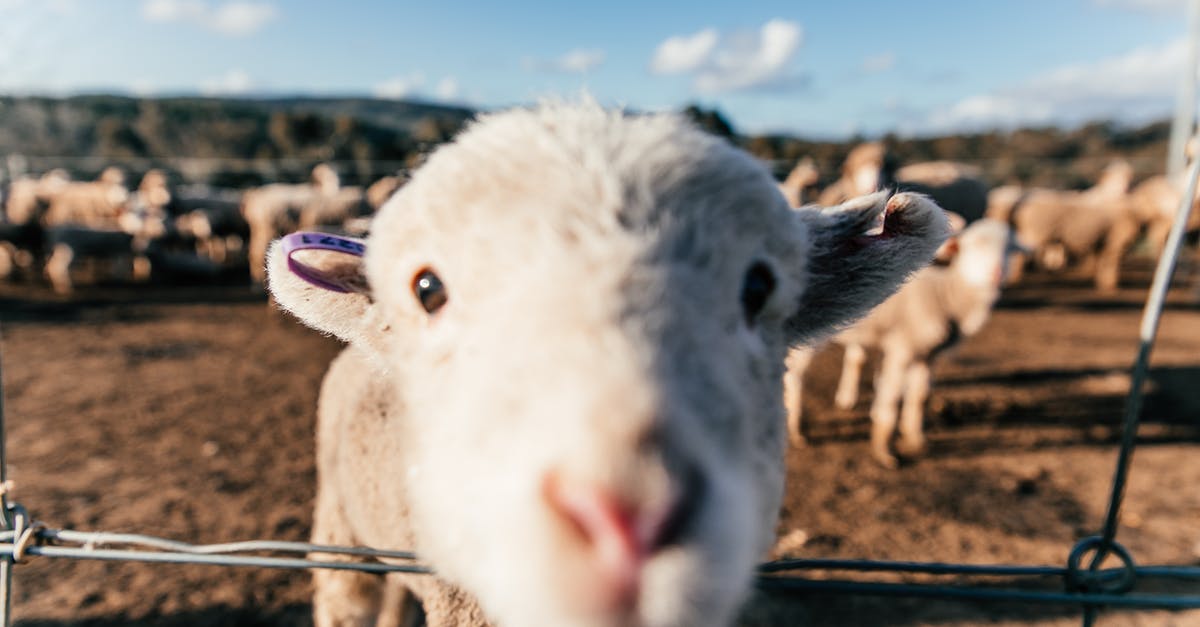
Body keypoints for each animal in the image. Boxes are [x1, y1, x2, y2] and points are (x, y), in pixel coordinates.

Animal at [782, 217, 1027, 466]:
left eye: (1010, 249)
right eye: (972, 246)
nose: (997, 273)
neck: (945, 295)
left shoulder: (928, 354)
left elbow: (920, 397)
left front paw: (916, 439)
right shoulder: (902, 346)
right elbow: (891, 399)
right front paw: (885, 451)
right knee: (795, 376)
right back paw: (796, 430)